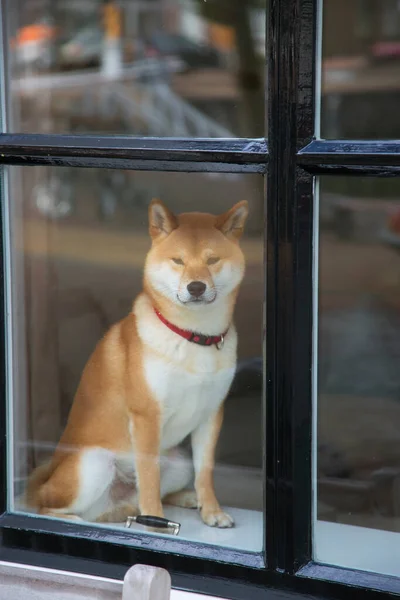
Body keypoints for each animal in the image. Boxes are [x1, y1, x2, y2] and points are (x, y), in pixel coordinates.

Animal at [26, 198, 247, 528]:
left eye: (212, 260)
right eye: (178, 261)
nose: (195, 287)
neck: (193, 336)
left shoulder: (211, 414)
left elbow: (205, 473)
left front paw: (212, 511)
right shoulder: (147, 416)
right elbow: (149, 475)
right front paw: (154, 521)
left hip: (179, 461)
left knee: (146, 494)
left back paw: (181, 500)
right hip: (93, 463)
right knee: (50, 507)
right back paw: (81, 521)